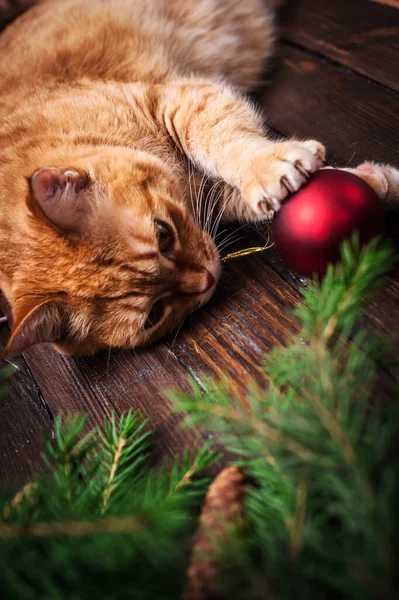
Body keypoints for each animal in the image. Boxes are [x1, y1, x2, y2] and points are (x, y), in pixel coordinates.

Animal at [0, 0, 398, 356]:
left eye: (163, 235)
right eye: (154, 315)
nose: (208, 278)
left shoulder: (179, 100)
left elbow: (220, 139)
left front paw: (268, 166)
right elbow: (250, 199)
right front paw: (373, 183)